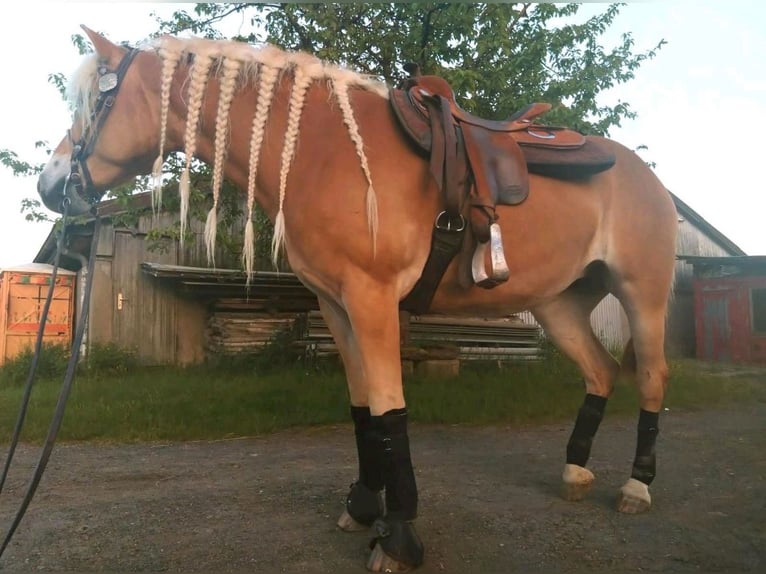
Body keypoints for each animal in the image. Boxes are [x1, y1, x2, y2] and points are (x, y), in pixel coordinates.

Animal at [37, 27, 680, 572]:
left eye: (94, 106)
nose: (50, 185)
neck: (328, 154)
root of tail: (646, 176)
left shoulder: (373, 299)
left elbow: (391, 408)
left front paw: (399, 538)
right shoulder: (335, 304)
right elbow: (363, 409)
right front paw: (365, 506)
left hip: (642, 295)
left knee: (651, 377)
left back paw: (637, 486)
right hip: (559, 304)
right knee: (600, 372)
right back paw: (575, 471)